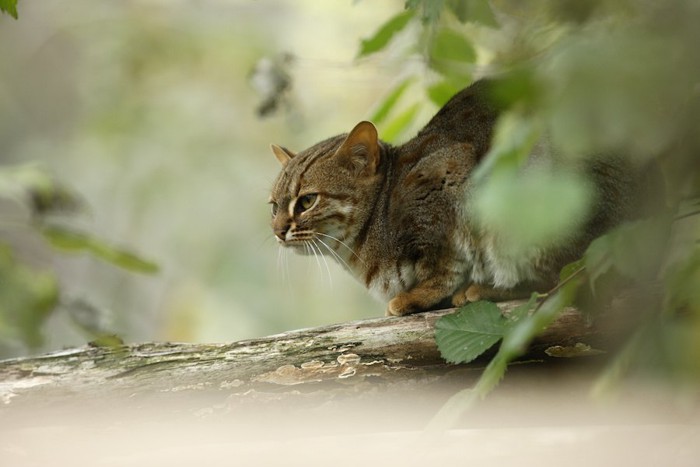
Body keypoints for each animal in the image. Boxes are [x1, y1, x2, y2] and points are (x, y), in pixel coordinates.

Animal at [266, 79, 636, 318]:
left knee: (564, 278)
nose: (278, 231)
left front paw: (417, 296)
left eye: (306, 201)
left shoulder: (448, 175)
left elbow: (446, 264)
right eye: (273, 206)